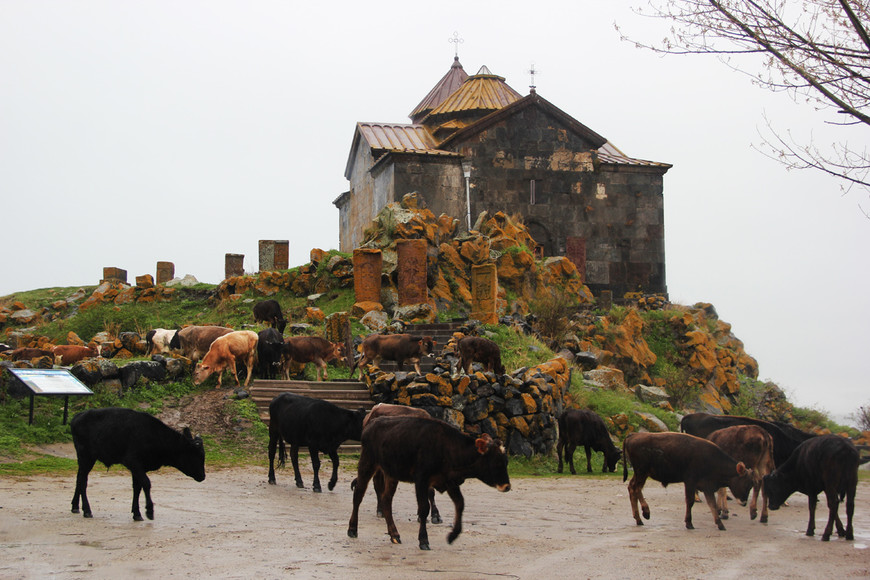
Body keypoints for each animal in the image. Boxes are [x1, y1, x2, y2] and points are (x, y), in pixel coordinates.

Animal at [70, 408, 206, 520]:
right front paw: (149, 511)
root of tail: (78, 415)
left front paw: (136, 513)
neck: (155, 437)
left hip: (84, 460)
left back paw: (75, 506)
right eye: (197, 455)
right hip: (86, 457)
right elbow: (146, 483)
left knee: (79, 479)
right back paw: (87, 510)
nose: (203, 476)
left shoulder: (138, 468)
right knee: (82, 480)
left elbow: (137, 487)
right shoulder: (133, 462)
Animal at [348, 416, 510, 548]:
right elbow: (424, 509)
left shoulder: (449, 481)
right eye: (497, 463)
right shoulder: (421, 479)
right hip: (367, 463)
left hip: (391, 473)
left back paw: (394, 534)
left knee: (386, 500)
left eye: (506, 462)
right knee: (358, 495)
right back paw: (352, 529)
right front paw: (423, 540)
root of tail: (372, 422)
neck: (447, 447)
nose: (507, 486)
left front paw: (453, 535)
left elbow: (460, 504)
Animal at [624, 430, 752, 532]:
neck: (711, 459)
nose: (744, 502)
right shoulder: (690, 482)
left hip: (642, 474)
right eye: (746, 483)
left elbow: (712, 504)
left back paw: (640, 518)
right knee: (635, 488)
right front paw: (689, 523)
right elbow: (690, 501)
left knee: (633, 488)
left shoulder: (707, 486)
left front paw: (720, 524)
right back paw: (644, 513)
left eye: (751, 485)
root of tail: (633, 435)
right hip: (641, 472)